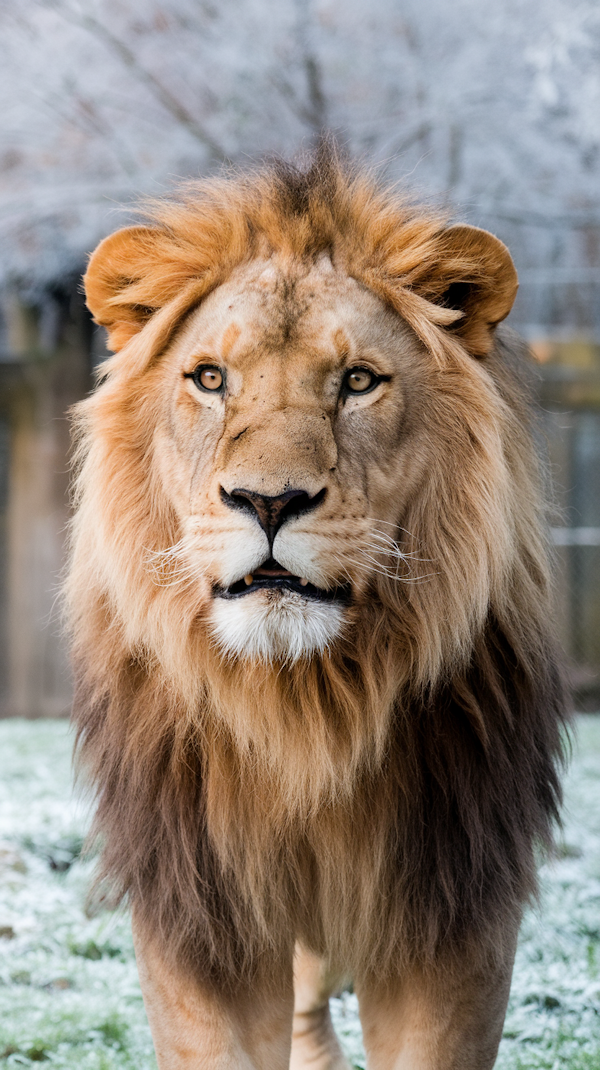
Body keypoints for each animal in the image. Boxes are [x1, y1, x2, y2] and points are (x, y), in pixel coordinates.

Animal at [67, 148, 568, 1070]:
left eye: (358, 381)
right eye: (210, 379)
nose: (269, 501)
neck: (304, 706)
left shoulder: (450, 905)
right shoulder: (201, 912)